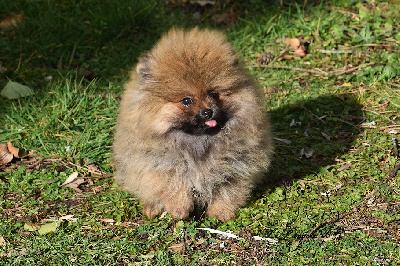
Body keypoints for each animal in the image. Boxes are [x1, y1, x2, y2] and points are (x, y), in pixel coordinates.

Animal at [114, 27, 274, 222]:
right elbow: (173, 186)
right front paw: (180, 210)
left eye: (213, 94)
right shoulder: (161, 166)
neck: (198, 143)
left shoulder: (236, 166)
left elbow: (227, 190)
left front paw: (220, 213)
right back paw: (152, 208)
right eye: (186, 100)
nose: (208, 111)